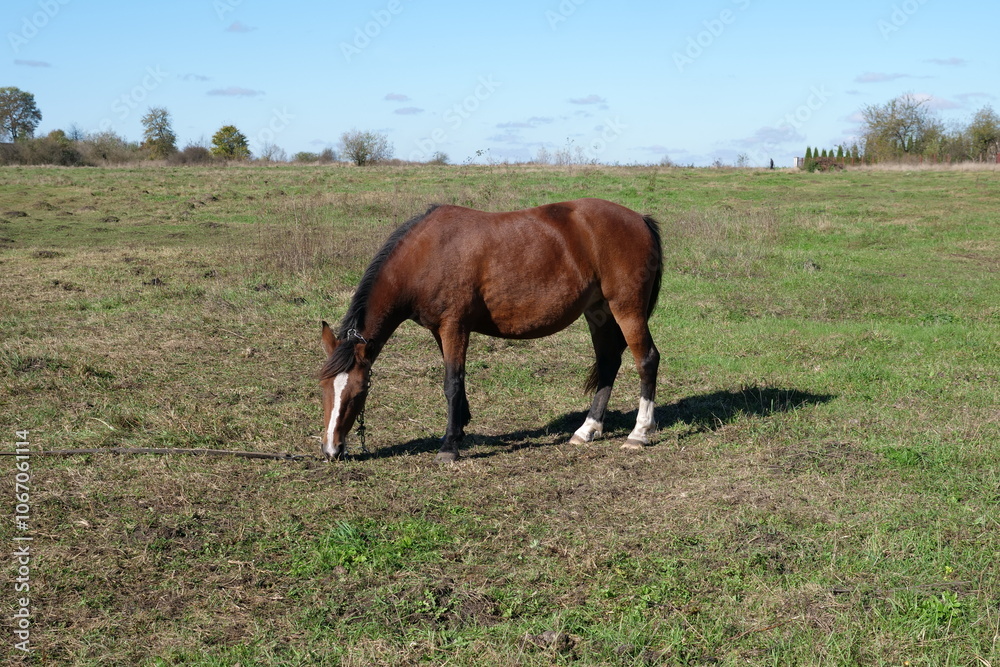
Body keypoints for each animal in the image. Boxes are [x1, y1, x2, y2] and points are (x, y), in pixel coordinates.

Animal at [319, 197, 662, 462]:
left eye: (358, 391)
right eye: (323, 388)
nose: (331, 450)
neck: (428, 253)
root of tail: (640, 220)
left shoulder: (454, 326)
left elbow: (452, 383)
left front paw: (449, 447)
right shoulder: (440, 331)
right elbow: (457, 383)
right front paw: (459, 430)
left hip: (627, 309)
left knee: (646, 360)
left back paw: (638, 433)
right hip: (598, 312)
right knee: (608, 363)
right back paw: (587, 429)